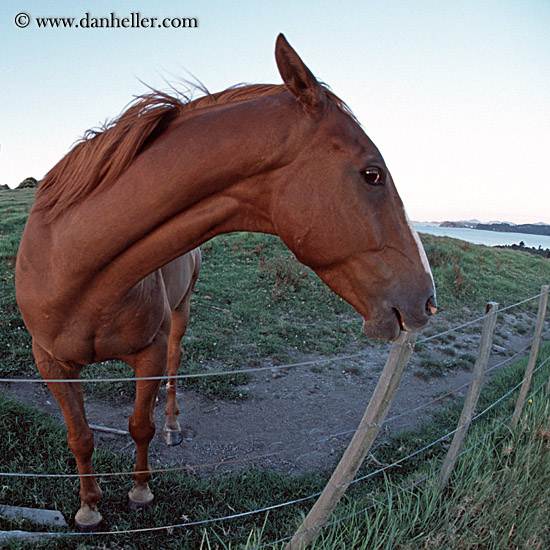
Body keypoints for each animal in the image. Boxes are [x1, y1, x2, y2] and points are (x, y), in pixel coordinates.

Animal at [12, 35, 438, 532]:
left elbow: (141, 425)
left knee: (175, 369)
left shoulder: (148, 353)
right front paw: (88, 507)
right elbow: (79, 436)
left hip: (180, 316)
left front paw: (140, 490)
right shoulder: (51, 363)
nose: (427, 300)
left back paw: (174, 424)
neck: (75, 265)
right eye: (373, 173)